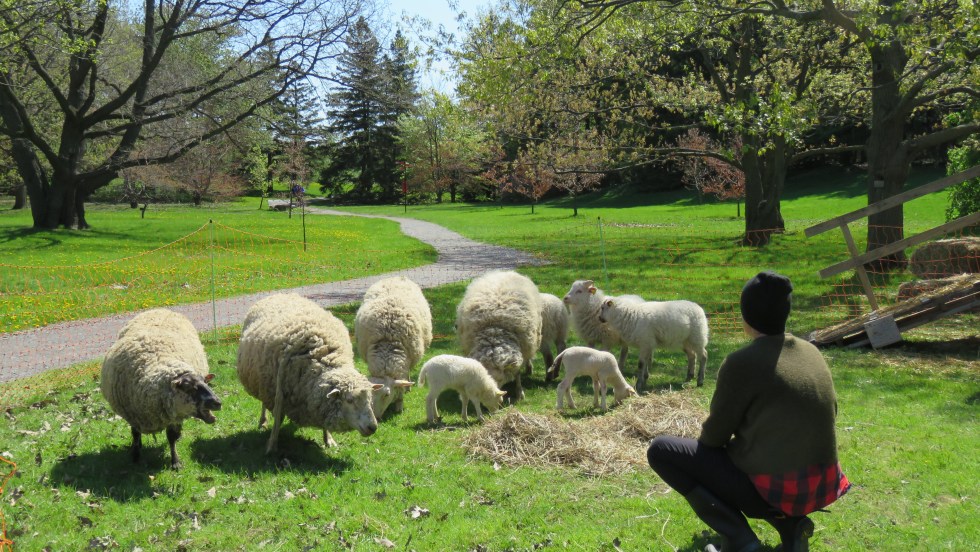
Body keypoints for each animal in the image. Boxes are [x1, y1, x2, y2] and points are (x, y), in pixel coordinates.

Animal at [100, 309, 221, 469]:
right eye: (188, 387)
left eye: (205, 382)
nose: (218, 403)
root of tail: (161, 309)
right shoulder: (133, 415)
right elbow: (135, 435)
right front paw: (136, 457)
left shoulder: (173, 415)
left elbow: (172, 437)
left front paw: (175, 462)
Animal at [237, 293, 383, 453]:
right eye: (349, 400)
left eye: (370, 399)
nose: (373, 427)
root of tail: (281, 294)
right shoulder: (279, 393)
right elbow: (278, 420)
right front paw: (272, 446)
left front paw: (328, 439)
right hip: (265, 381)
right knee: (263, 403)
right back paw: (263, 421)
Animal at [354, 276, 432, 416]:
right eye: (370, 393)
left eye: (386, 394)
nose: (377, 416)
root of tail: (396, 277)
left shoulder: (403, 367)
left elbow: (400, 387)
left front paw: (399, 405)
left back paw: (408, 387)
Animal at [455, 270, 542, 402]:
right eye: (484, 378)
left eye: (501, 379)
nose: (495, 394)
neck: (494, 333)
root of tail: (504, 272)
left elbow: (517, 374)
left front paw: (519, 393)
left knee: (528, 359)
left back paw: (529, 368)